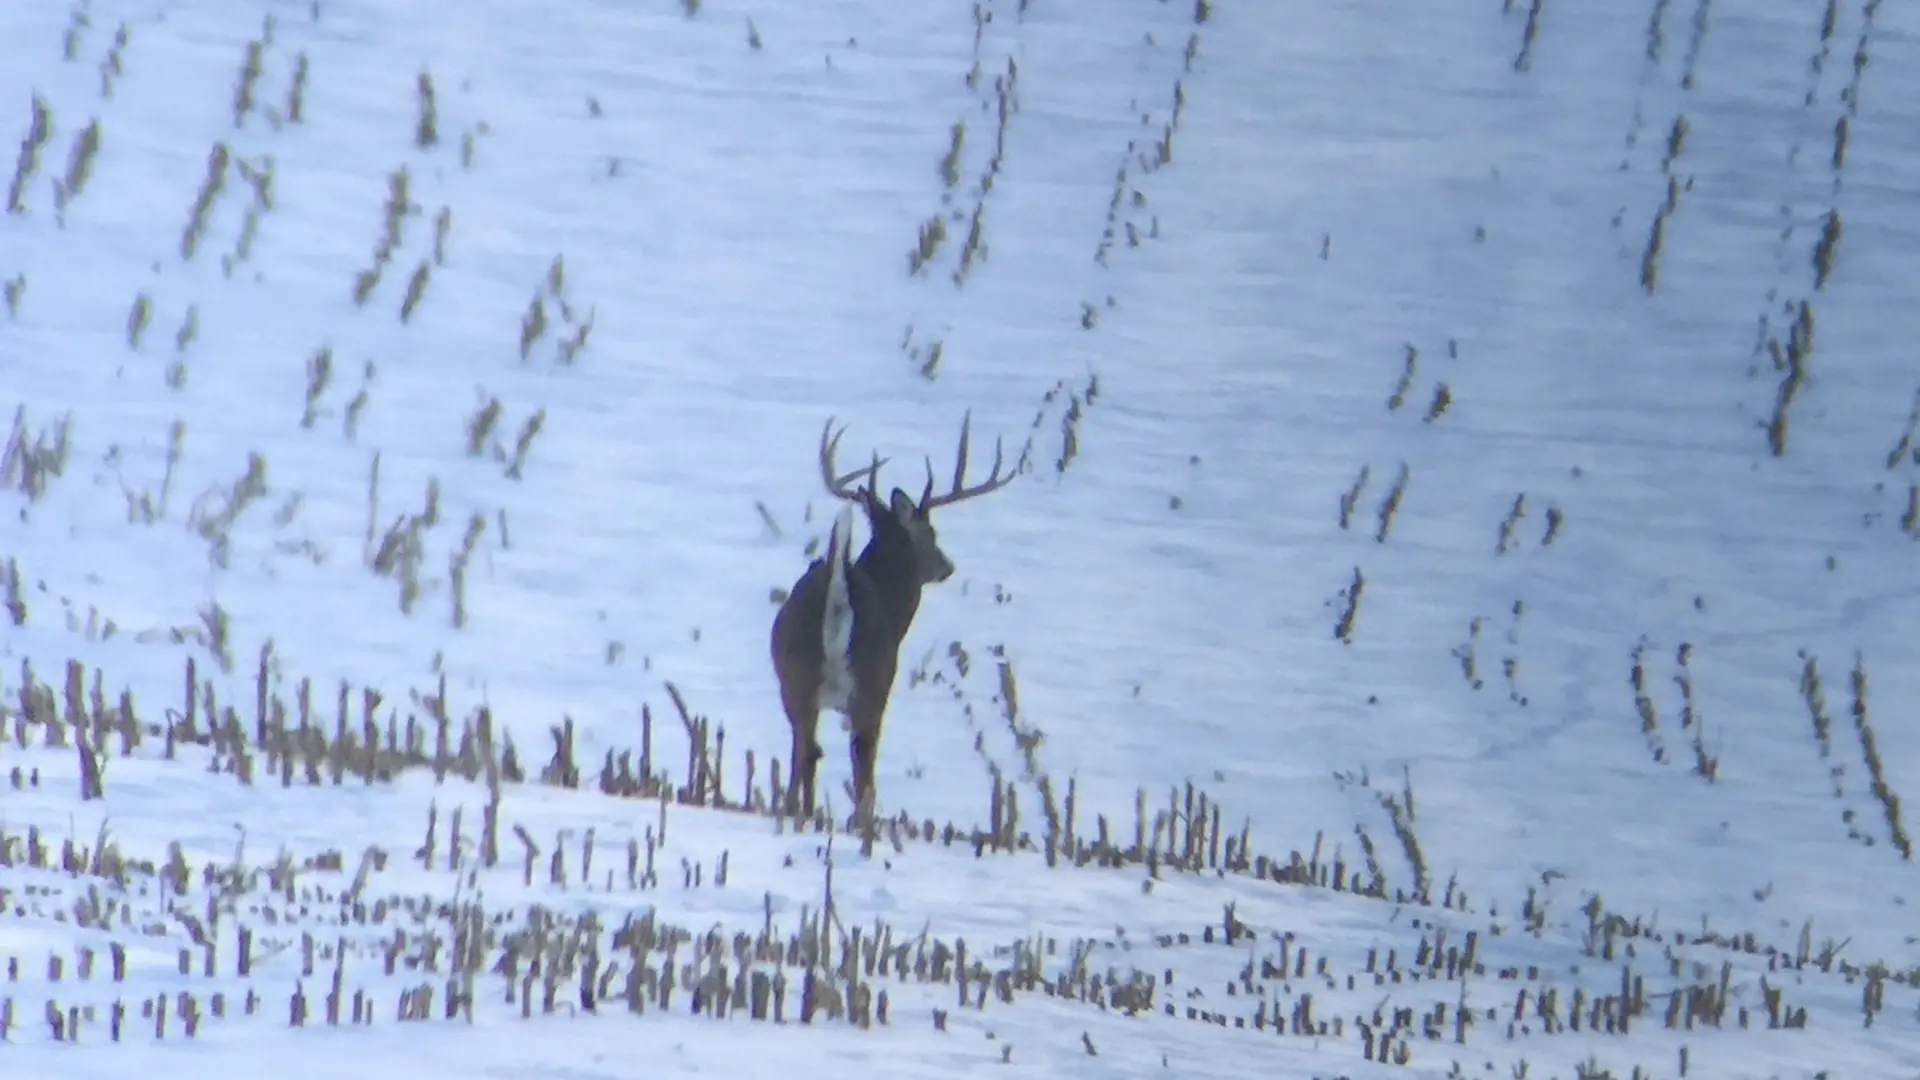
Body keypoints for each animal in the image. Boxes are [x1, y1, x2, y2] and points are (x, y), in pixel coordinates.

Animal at [771, 411, 1029, 814]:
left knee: (805, 755)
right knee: (858, 767)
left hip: (794, 679)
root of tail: (839, 587)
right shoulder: (882, 691)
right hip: (869, 685)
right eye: (931, 533)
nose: (947, 566)